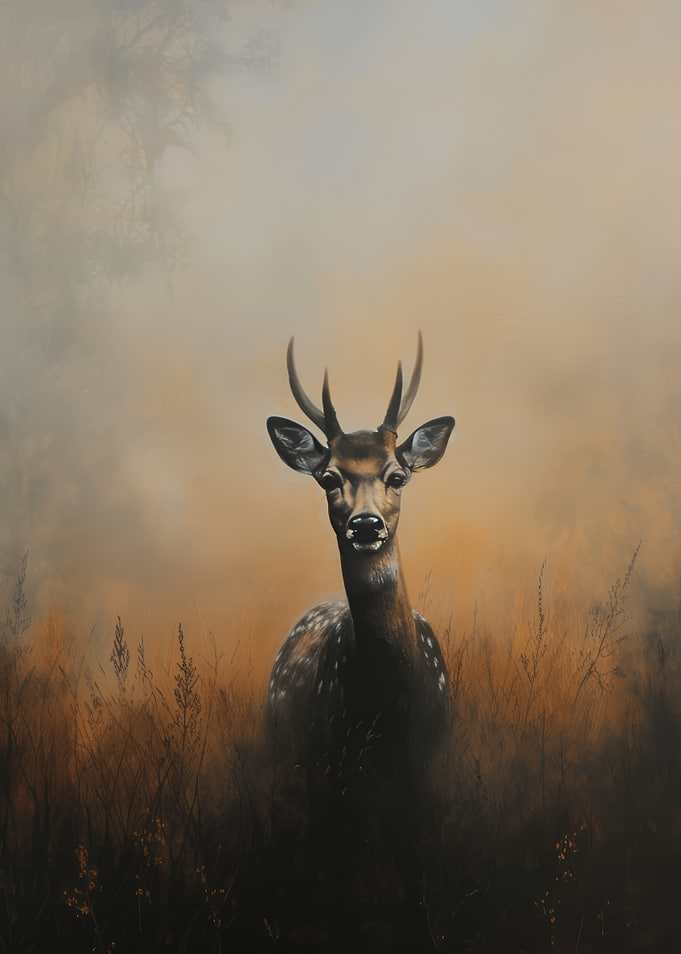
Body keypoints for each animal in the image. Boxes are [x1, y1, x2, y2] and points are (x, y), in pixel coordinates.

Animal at [264, 333, 455, 951]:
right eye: (328, 477)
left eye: (398, 475)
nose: (366, 525)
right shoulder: (331, 774)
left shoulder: (427, 766)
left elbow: (418, 873)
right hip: (286, 757)